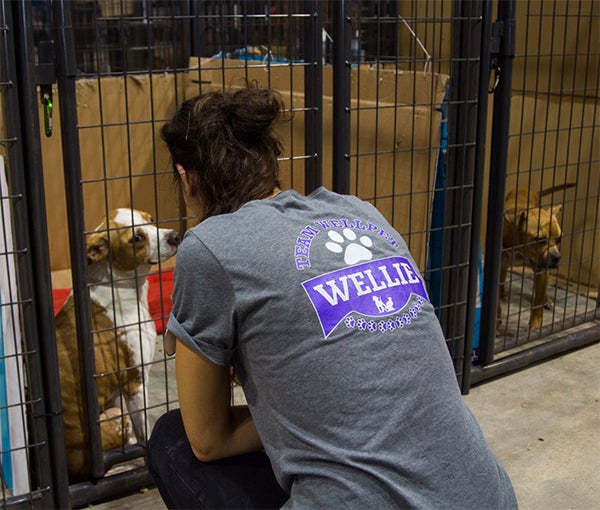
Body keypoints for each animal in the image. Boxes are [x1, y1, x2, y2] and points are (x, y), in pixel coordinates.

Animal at [54, 207, 178, 482]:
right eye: (136, 238)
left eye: (151, 219)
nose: (175, 236)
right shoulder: (135, 384)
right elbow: (147, 435)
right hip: (115, 416)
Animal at [496, 183, 576, 330]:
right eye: (540, 239)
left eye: (559, 239)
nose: (557, 257)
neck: (519, 250)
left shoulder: (542, 270)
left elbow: (538, 301)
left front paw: (535, 326)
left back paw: (547, 300)